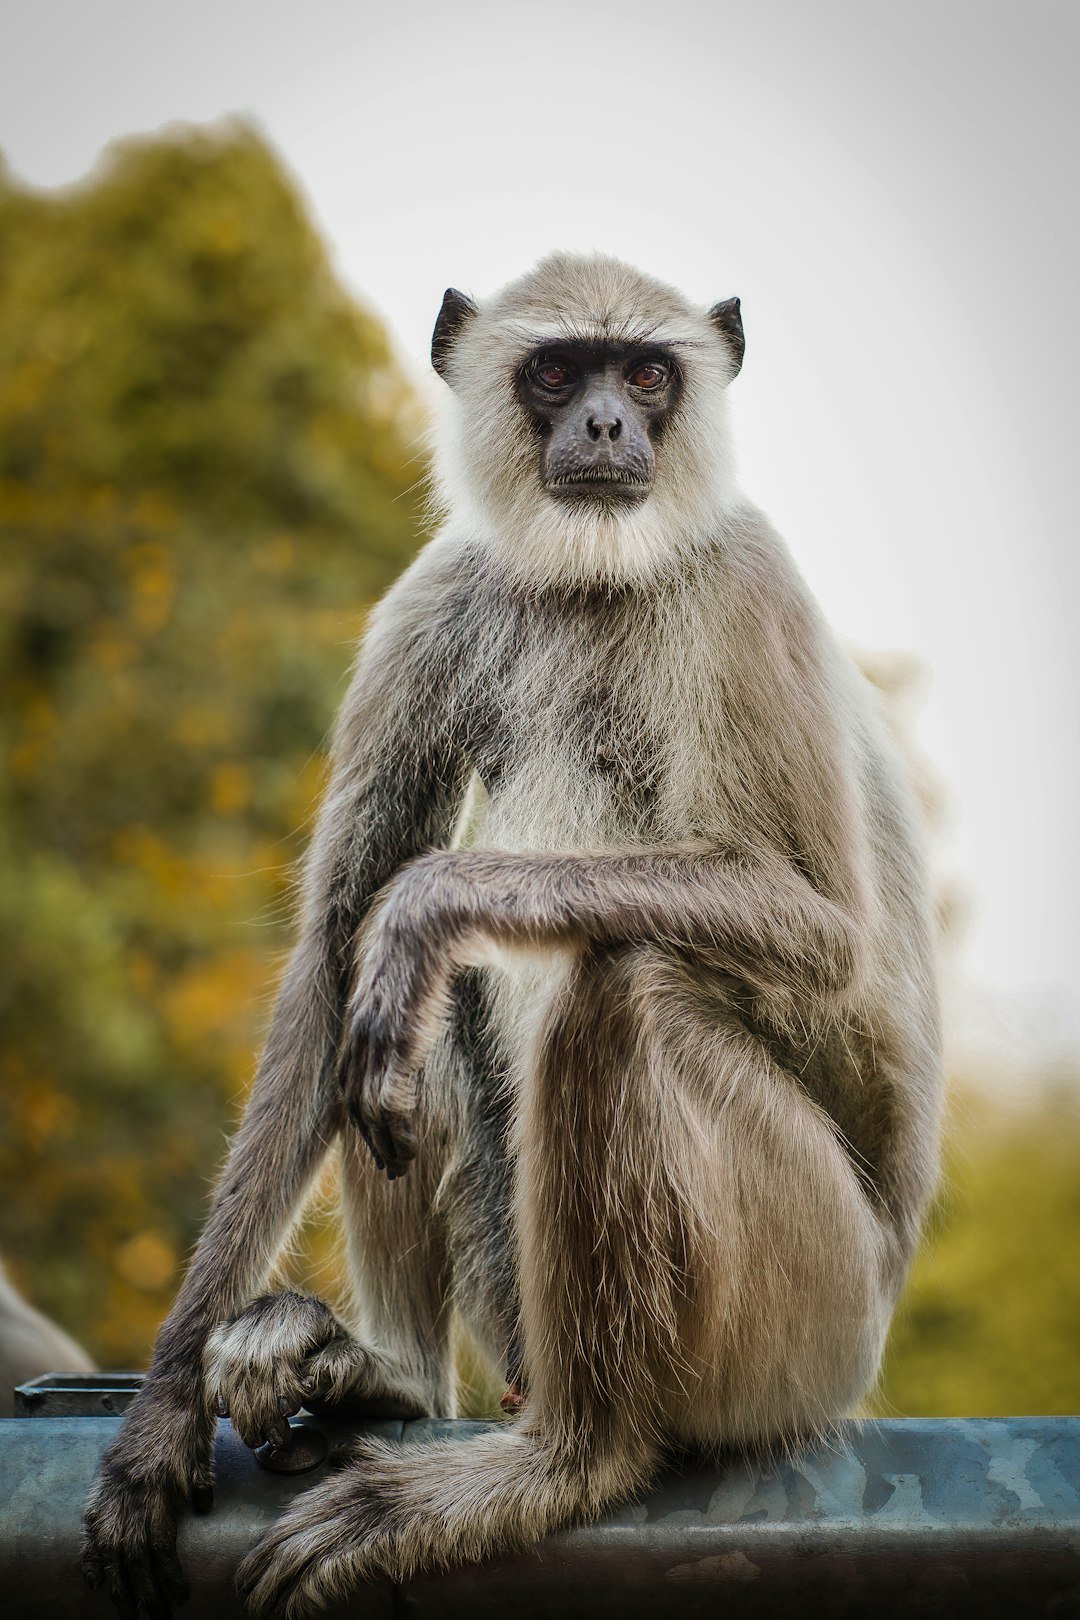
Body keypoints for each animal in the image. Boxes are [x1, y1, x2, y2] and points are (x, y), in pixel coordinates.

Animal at [82, 253, 942, 1618]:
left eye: (644, 372)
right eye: (555, 372)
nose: (606, 427)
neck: (599, 577)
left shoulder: (742, 580)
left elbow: (822, 935)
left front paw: (427, 904)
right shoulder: (437, 600)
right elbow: (334, 961)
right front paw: (158, 1422)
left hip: (805, 1318)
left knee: (614, 982)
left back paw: (576, 1462)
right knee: (399, 1027)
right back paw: (389, 1373)